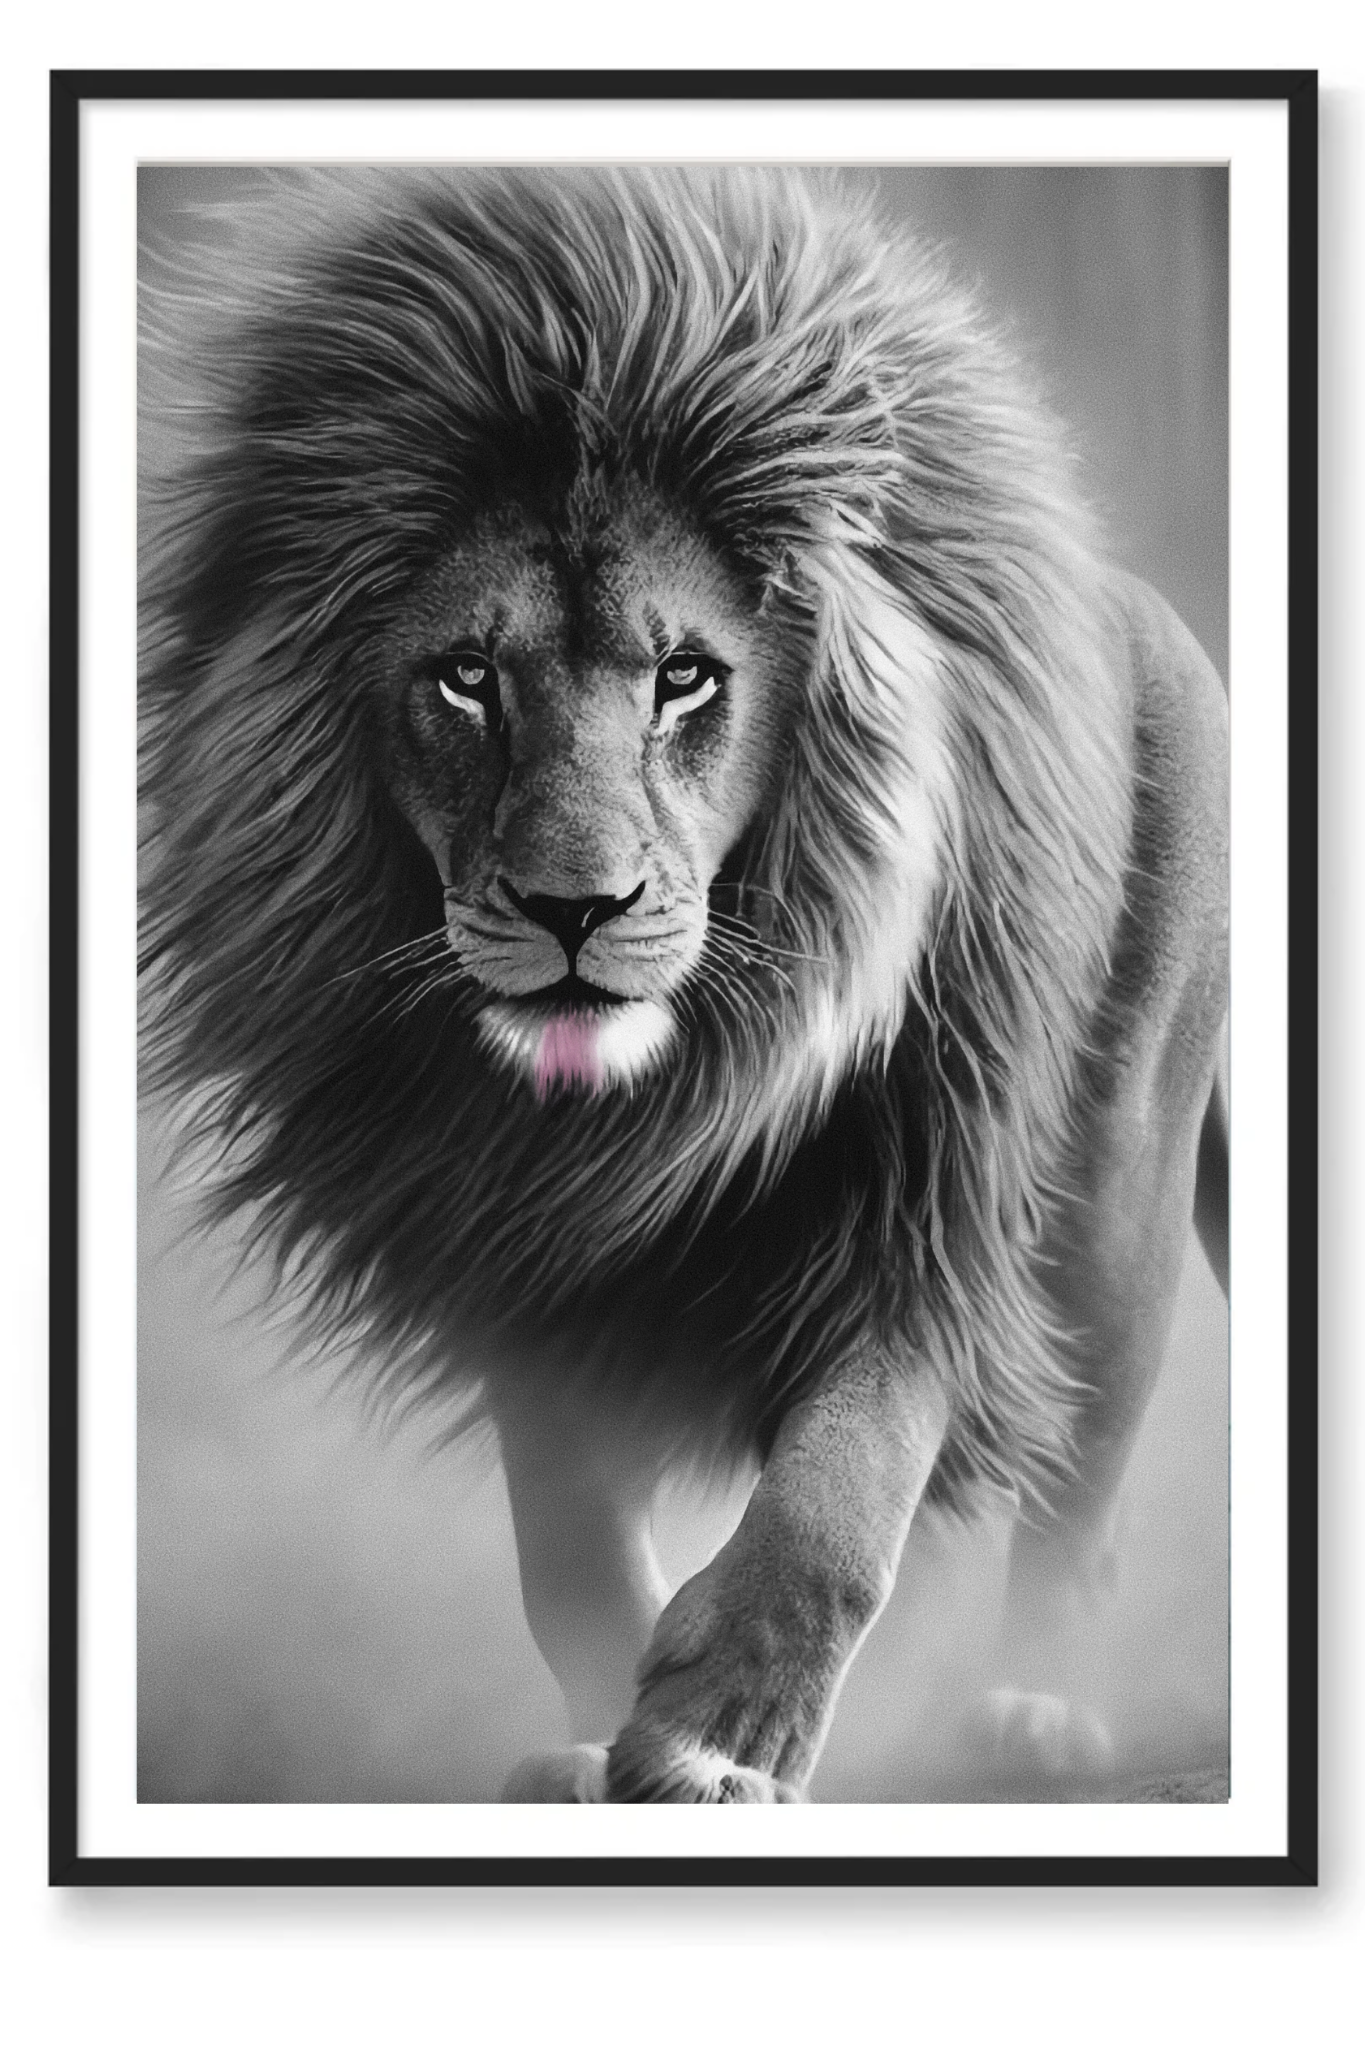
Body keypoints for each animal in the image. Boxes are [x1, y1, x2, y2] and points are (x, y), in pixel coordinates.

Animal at [140, 166, 1228, 1802]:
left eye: (686, 677)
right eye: (468, 677)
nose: (572, 909)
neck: (659, 1102)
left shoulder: (926, 1198)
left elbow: (839, 1499)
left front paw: (722, 1740)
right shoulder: (514, 1258)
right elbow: (570, 1553)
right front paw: (604, 1738)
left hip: (1118, 1205)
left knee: (1079, 1490)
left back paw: (1033, 1710)